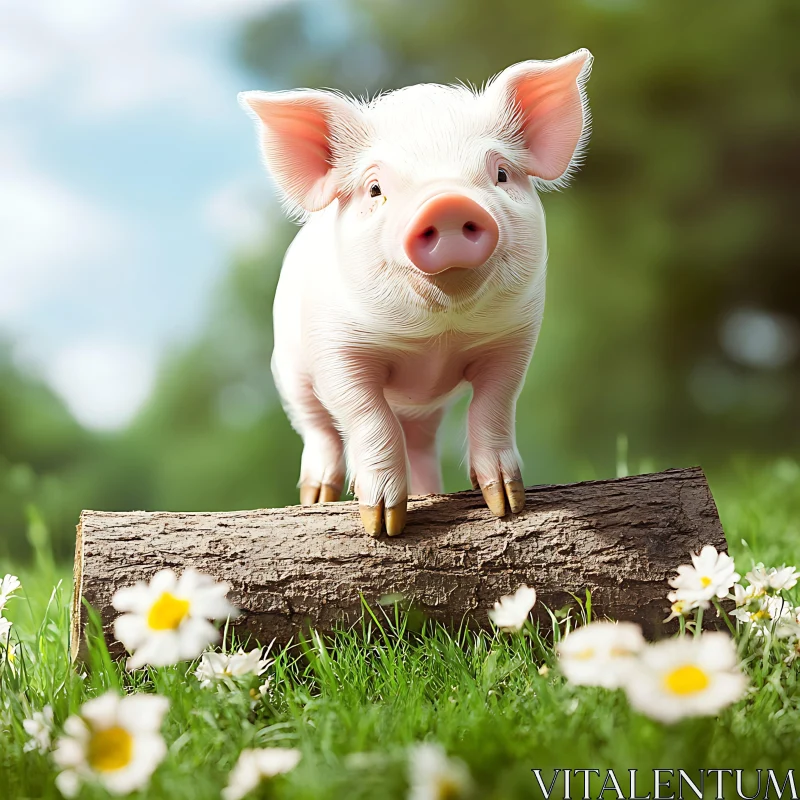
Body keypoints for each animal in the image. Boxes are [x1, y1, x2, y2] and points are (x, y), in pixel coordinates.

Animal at [241, 50, 592, 536]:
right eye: (375, 189)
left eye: (501, 173)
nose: (447, 203)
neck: (435, 341)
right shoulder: (335, 351)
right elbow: (366, 416)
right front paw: (382, 527)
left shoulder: (515, 340)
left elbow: (495, 403)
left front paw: (506, 505)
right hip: (288, 370)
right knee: (317, 426)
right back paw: (316, 498)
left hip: (424, 412)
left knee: (421, 442)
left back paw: (428, 492)